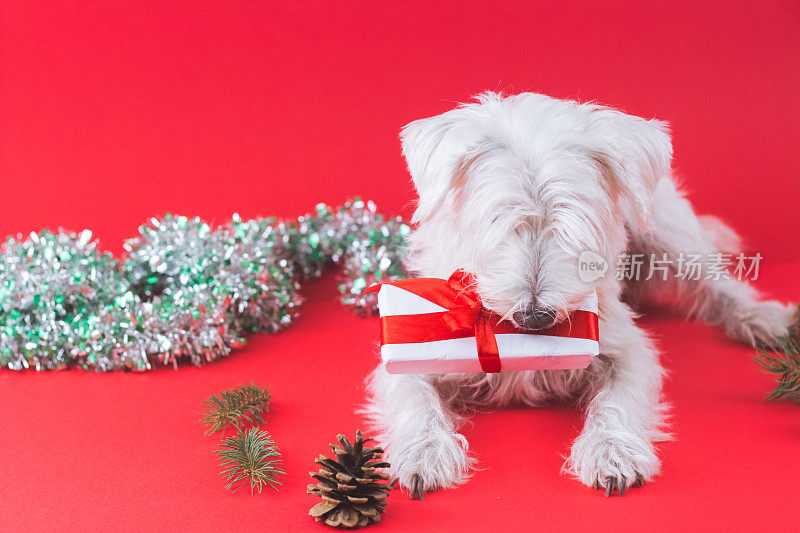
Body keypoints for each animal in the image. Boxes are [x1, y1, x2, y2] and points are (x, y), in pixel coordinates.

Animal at [366, 91, 796, 498]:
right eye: (496, 221)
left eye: (576, 226)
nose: (534, 316)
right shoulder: (408, 354)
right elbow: (416, 400)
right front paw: (423, 453)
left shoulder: (626, 347)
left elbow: (616, 402)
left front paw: (613, 452)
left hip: (669, 232)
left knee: (716, 279)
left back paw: (762, 318)